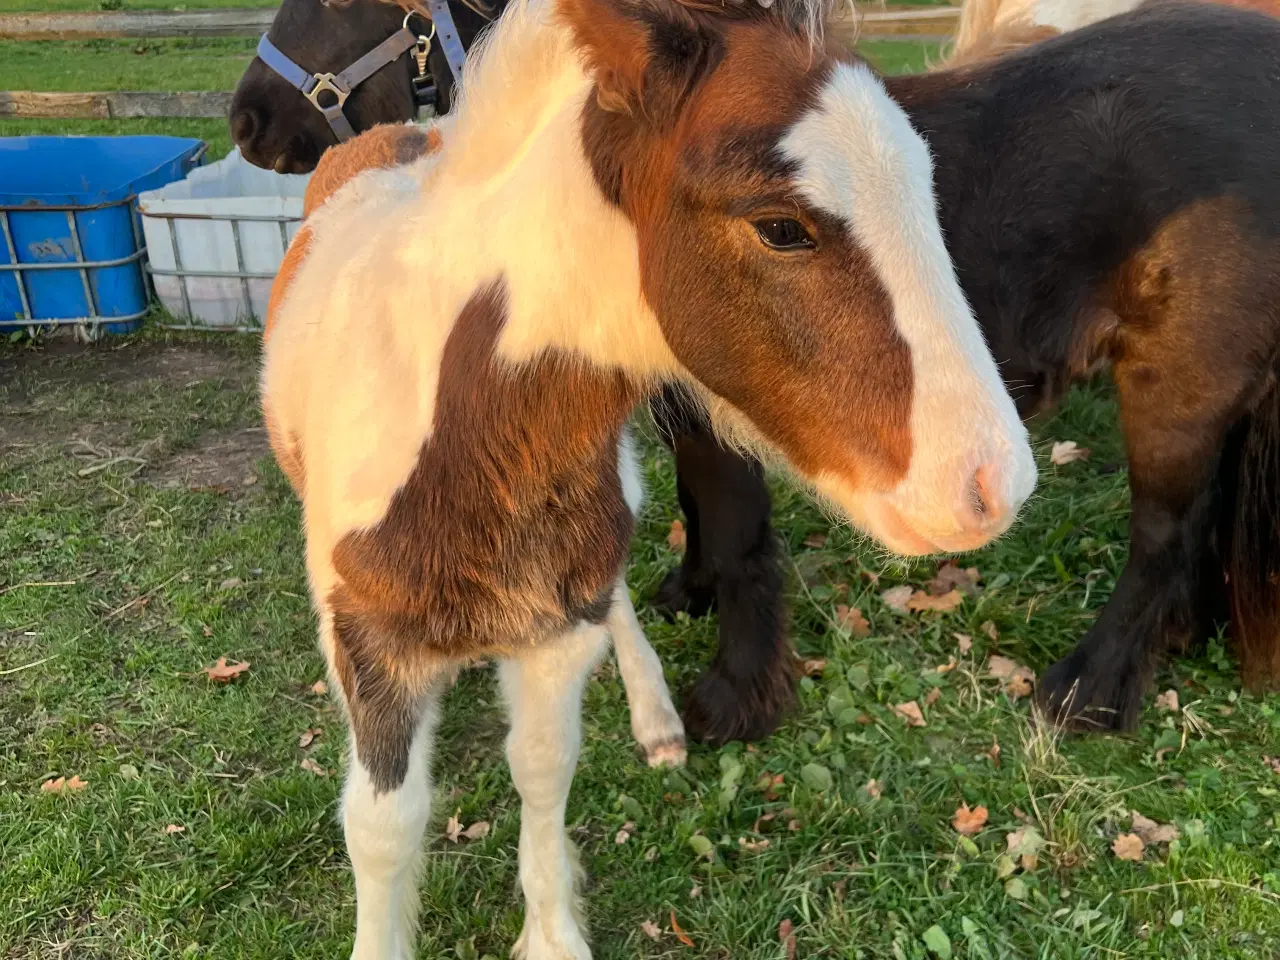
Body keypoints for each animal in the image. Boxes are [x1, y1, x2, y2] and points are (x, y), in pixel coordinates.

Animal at [264, 0, 1034, 957]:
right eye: (782, 226)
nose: (995, 484)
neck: (462, 445)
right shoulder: (366, 643)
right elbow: (382, 825)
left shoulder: (556, 624)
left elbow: (543, 766)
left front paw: (552, 929)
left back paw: (656, 719)